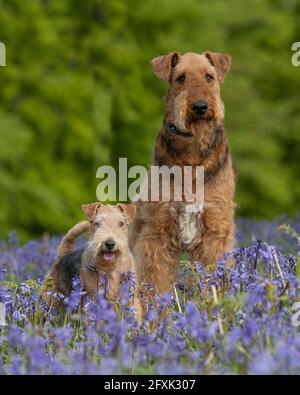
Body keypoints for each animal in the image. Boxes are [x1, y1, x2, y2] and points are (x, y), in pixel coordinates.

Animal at [130, 51, 236, 296]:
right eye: (181, 77)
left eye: (209, 76)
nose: (200, 107)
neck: (193, 153)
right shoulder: (157, 233)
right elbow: (155, 279)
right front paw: (156, 305)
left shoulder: (215, 230)